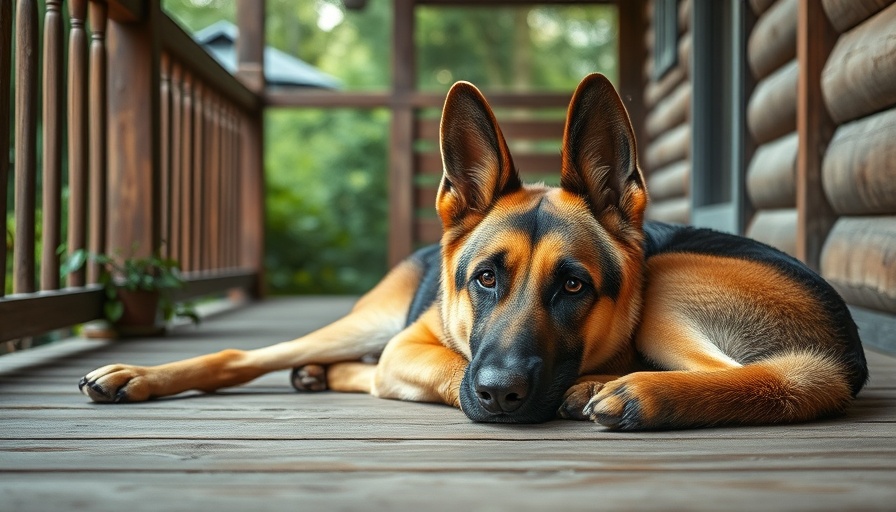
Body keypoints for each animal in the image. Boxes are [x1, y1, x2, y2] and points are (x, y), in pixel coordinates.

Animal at [82, 75, 868, 428]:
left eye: (575, 287)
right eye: (485, 279)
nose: (500, 395)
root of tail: (843, 356)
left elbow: (419, 372)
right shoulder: (414, 343)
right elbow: (426, 368)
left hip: (671, 282)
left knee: (775, 382)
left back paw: (635, 390)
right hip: (368, 320)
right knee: (250, 355)